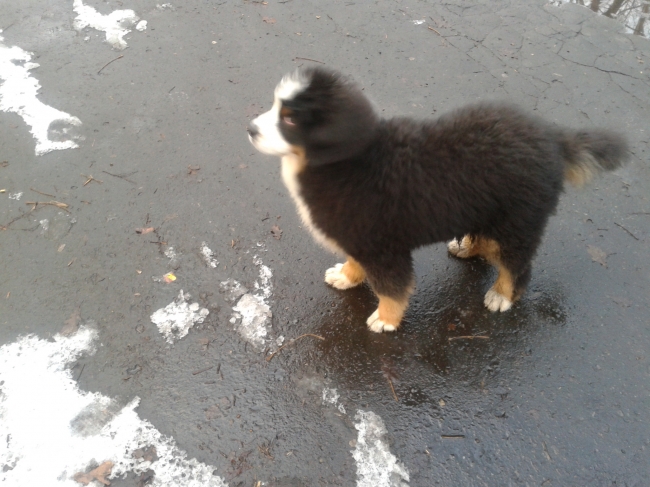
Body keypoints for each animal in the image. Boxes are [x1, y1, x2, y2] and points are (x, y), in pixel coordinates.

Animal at [247, 67, 628, 333]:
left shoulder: (384, 246)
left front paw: (386, 319)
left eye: (290, 118)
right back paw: (468, 248)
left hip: (517, 222)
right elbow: (356, 260)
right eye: (277, 106)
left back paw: (502, 294)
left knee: (517, 264)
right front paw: (347, 275)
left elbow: (393, 287)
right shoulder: (360, 235)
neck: (349, 162)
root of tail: (553, 137)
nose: (250, 129)